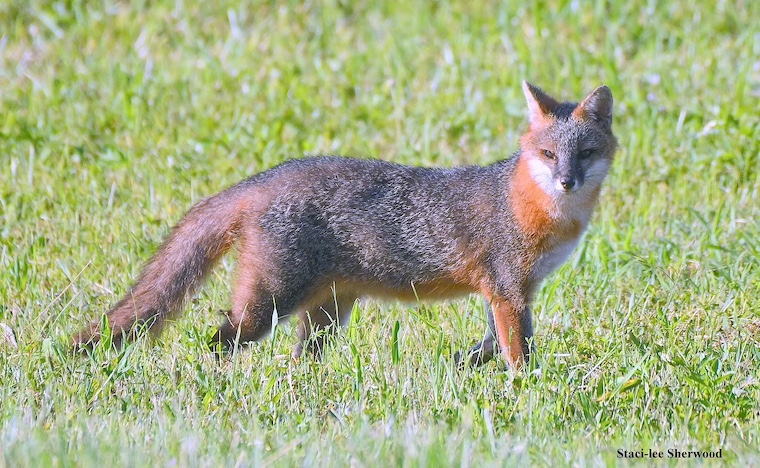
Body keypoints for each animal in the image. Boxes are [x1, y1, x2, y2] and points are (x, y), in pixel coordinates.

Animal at [72, 82, 617, 369]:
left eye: (585, 154)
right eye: (547, 154)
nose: (566, 181)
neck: (539, 212)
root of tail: (265, 178)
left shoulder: (509, 292)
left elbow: (488, 346)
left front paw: (462, 369)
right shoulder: (506, 289)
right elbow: (518, 352)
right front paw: (527, 386)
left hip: (325, 316)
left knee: (297, 360)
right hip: (266, 308)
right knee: (217, 340)